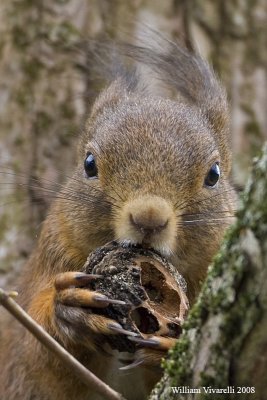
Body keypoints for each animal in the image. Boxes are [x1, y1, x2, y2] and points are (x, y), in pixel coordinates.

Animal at [1, 36, 237, 398]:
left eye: (214, 174)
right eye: (89, 164)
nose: (149, 218)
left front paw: (167, 347)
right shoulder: (53, 255)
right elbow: (36, 358)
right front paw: (69, 311)